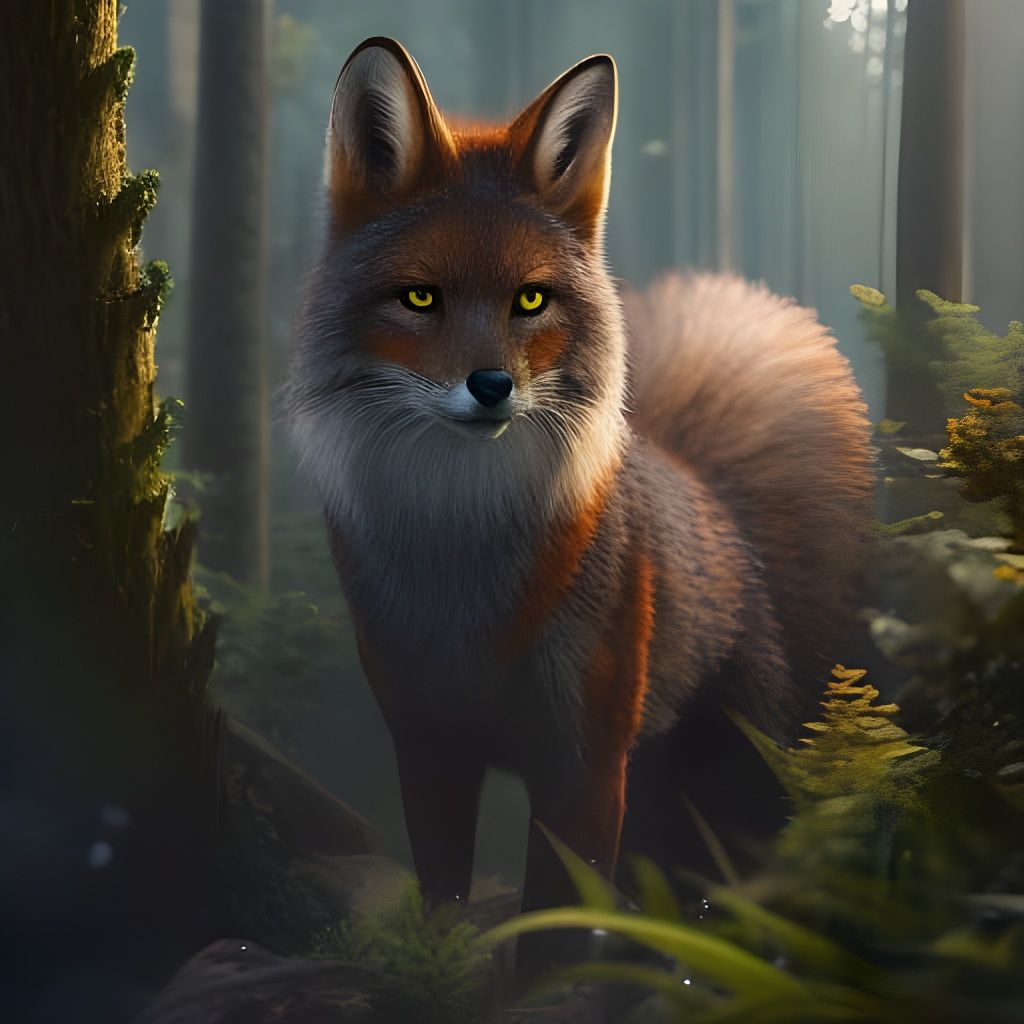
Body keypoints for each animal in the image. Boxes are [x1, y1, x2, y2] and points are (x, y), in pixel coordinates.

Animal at [288, 37, 874, 925]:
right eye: (419, 298)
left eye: (531, 300)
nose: (491, 386)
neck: (462, 577)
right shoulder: (427, 748)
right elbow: (446, 912)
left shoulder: (585, 764)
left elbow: (553, 931)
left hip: (727, 791)